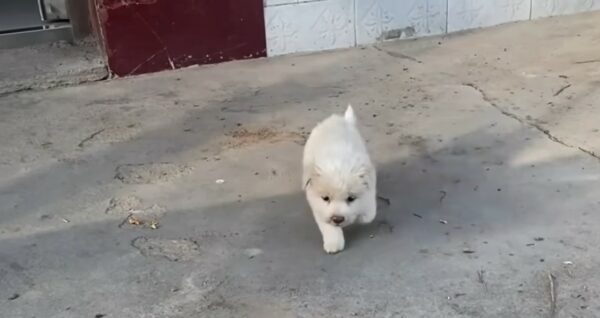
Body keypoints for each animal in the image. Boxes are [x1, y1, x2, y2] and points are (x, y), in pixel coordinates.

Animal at [302, 104, 378, 253]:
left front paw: (364, 215)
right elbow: (327, 224)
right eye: (326, 198)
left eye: (351, 198)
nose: (337, 219)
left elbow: (368, 212)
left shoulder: (369, 182)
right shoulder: (318, 204)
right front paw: (334, 243)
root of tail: (336, 119)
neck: (338, 161)